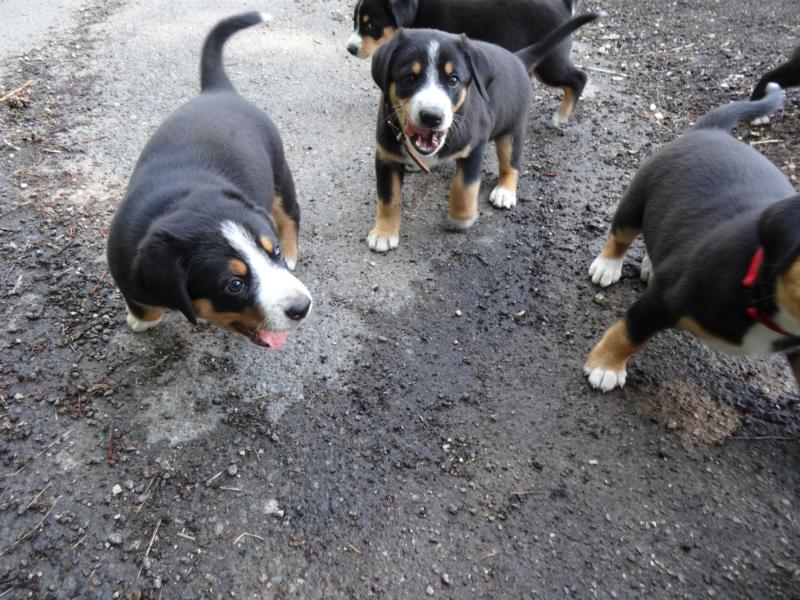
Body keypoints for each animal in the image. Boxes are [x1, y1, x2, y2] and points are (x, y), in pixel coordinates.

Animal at [107, 12, 312, 350]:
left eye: (274, 254)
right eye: (234, 285)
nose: (302, 306)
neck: (182, 203)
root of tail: (217, 90)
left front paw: (140, 321)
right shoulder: (125, 269)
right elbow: (142, 303)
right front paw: (141, 318)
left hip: (280, 171)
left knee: (290, 213)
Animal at [348, 0, 591, 127]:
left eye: (370, 25)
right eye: (356, 22)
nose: (350, 48)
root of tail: (564, 5)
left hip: (550, 62)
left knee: (578, 78)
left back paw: (561, 116)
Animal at [365, 13, 598, 252]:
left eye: (453, 80)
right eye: (409, 78)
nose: (431, 116)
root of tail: (518, 59)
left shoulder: (474, 146)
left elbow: (465, 185)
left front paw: (461, 216)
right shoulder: (386, 154)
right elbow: (387, 196)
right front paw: (384, 232)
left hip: (513, 129)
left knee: (511, 163)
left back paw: (505, 191)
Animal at [584, 84, 800, 392]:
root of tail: (714, 131)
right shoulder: (660, 301)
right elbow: (629, 334)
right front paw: (606, 367)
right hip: (635, 205)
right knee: (621, 236)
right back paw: (608, 265)